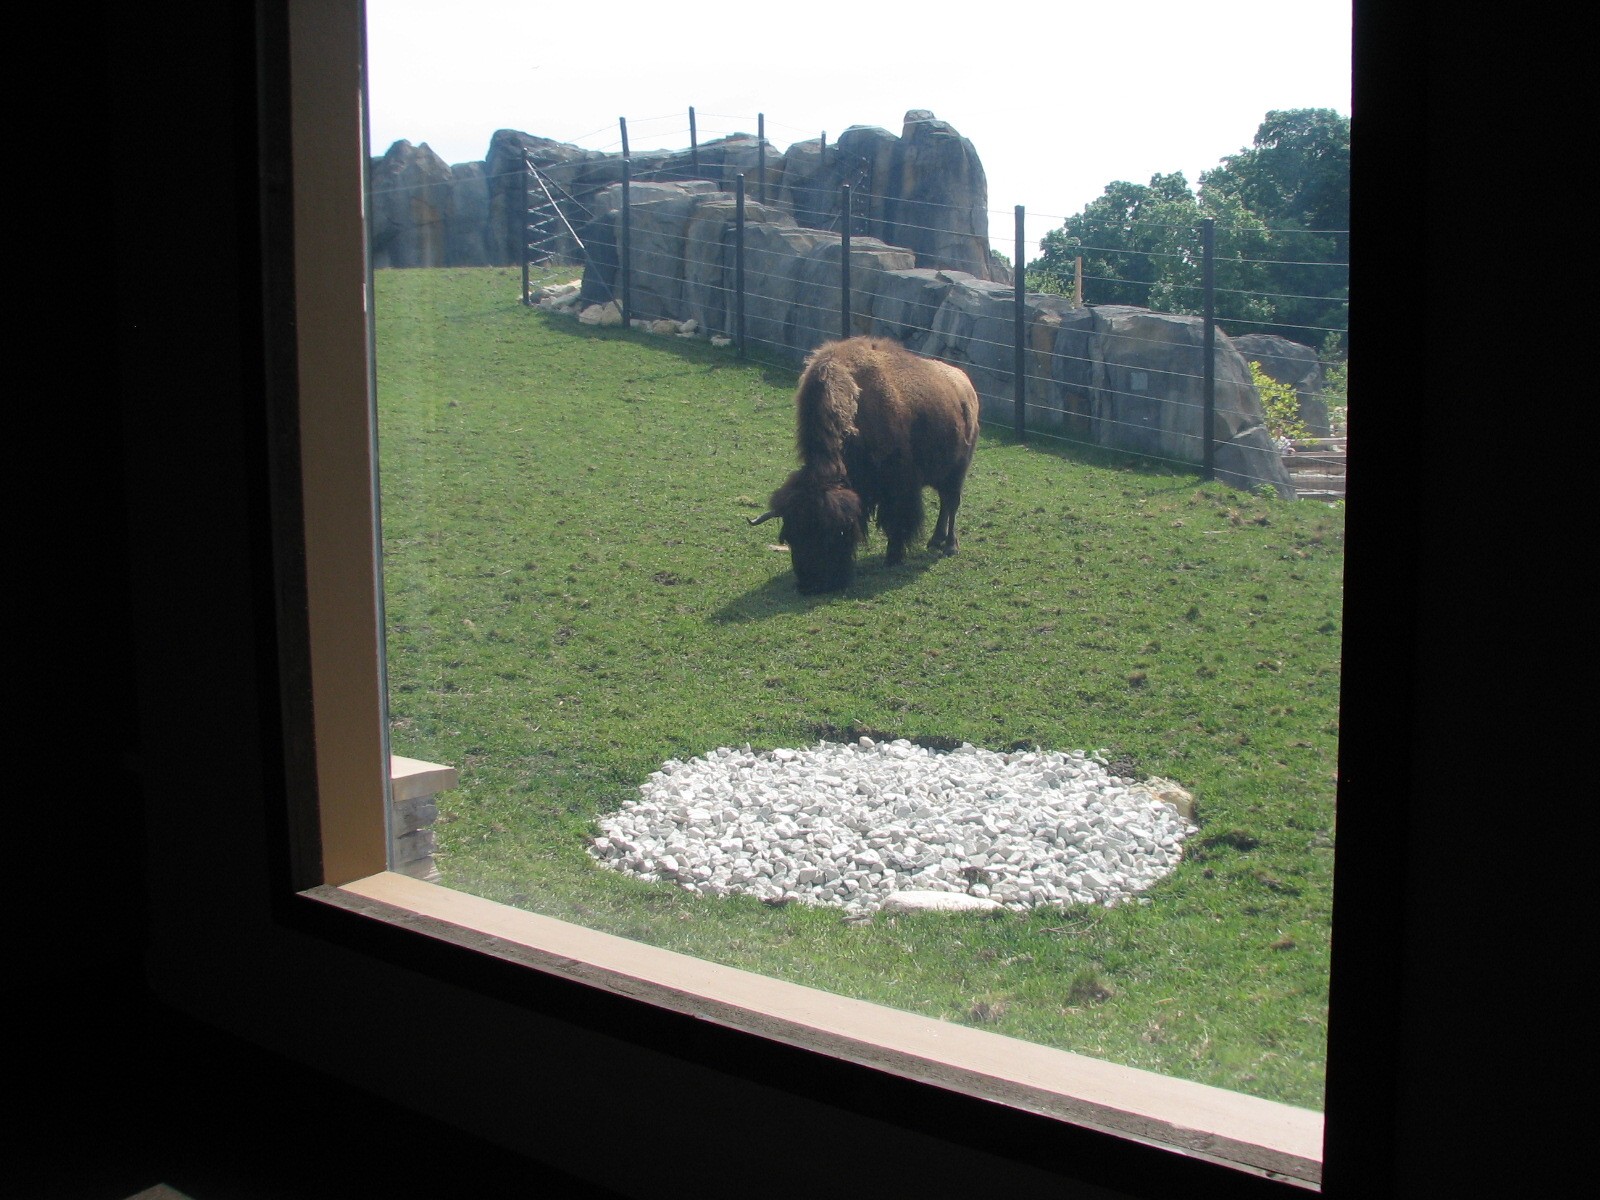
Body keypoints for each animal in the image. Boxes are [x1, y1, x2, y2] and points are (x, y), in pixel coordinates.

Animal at [751, 336, 979, 594]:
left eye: (832, 533)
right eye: (790, 536)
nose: (812, 586)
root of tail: (965, 385)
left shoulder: (899, 487)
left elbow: (897, 521)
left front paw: (893, 557)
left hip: (957, 470)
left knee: (952, 503)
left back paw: (950, 546)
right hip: (941, 474)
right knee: (944, 503)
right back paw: (935, 541)